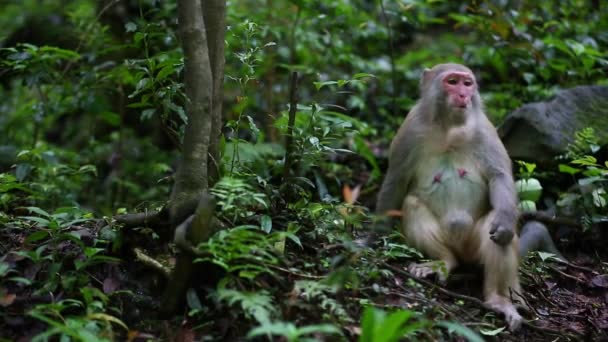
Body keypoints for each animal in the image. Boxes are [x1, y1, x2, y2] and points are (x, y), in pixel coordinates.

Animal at [376, 62, 524, 330]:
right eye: (452, 82)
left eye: (467, 83)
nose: (464, 95)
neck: (449, 127)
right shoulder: (410, 127)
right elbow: (396, 180)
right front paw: (372, 239)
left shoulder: (485, 128)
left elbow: (499, 176)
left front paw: (505, 223)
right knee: (412, 204)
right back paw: (443, 262)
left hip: (474, 249)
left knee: (495, 227)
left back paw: (498, 300)